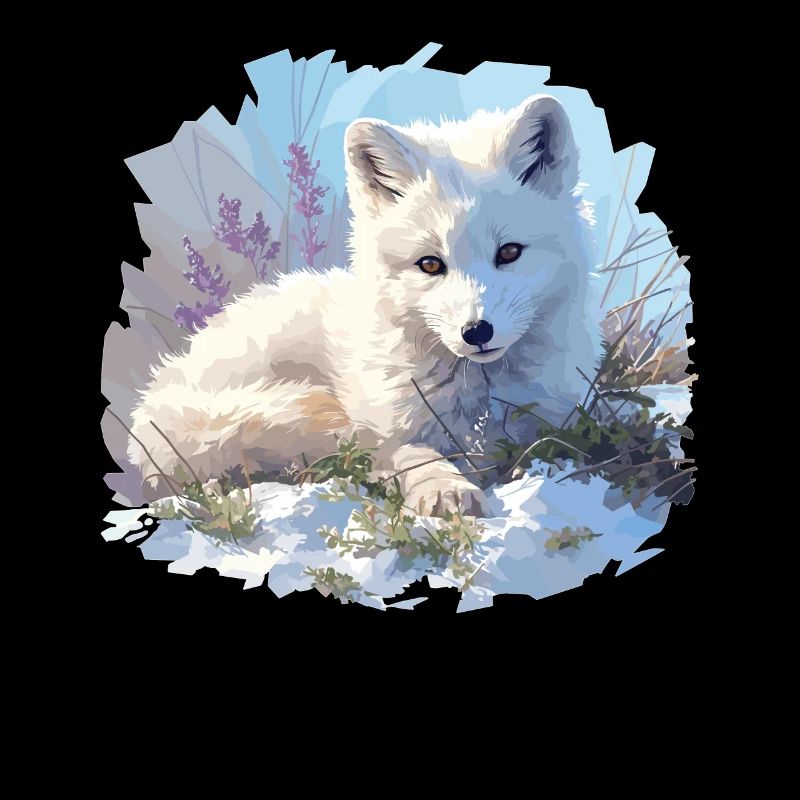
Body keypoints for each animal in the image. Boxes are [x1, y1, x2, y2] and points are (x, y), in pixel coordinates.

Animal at [128, 94, 602, 516]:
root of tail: (161, 383)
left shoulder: (551, 422)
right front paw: (444, 487)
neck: (477, 401)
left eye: (509, 252)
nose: (476, 332)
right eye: (431, 264)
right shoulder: (385, 431)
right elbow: (412, 454)